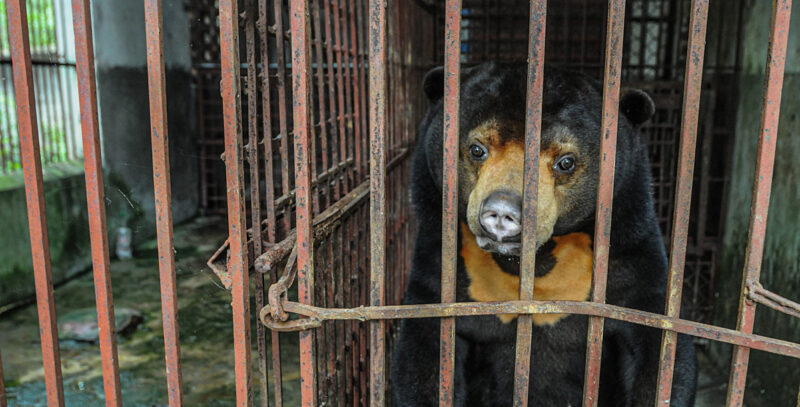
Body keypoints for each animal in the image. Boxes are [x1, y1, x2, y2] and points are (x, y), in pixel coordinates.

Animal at [390, 61, 696, 407]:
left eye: (565, 162)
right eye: (477, 149)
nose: (502, 212)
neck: (535, 261)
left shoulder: (630, 247)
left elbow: (659, 350)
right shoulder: (443, 259)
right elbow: (424, 356)